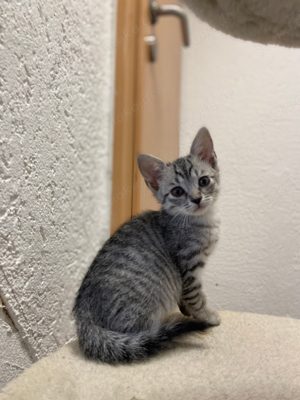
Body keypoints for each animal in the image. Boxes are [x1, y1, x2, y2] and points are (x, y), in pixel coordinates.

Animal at [73, 127, 220, 362]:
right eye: (177, 192)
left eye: (203, 181)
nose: (197, 199)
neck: (203, 222)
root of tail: (83, 315)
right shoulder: (188, 270)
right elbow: (196, 298)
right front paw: (207, 316)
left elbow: (187, 300)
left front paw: (188, 312)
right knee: (143, 334)